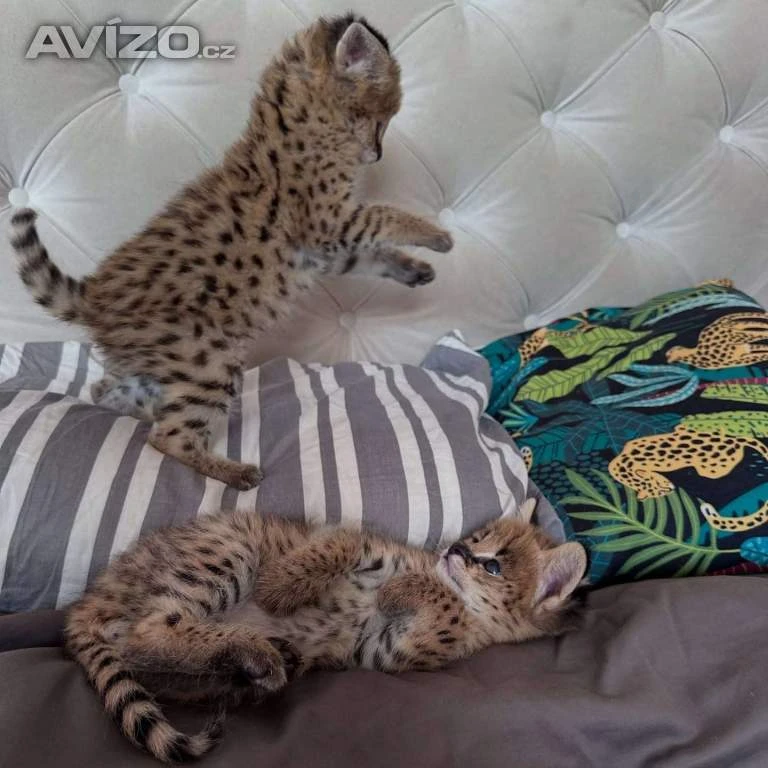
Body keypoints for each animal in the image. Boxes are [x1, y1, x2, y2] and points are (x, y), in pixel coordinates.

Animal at [10, 13, 453, 491]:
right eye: (380, 118)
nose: (377, 154)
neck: (301, 122)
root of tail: (92, 294)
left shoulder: (327, 247)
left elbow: (374, 253)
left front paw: (415, 268)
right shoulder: (328, 222)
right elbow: (385, 215)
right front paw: (435, 234)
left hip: (157, 364)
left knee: (106, 391)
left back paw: (133, 408)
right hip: (208, 359)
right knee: (167, 437)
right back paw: (235, 471)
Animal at [65, 498, 587, 763]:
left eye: (493, 566)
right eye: (476, 539)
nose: (455, 549)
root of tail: (90, 600)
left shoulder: (388, 651)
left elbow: (438, 611)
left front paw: (406, 592)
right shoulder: (349, 539)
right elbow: (335, 546)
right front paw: (281, 589)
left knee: (143, 647)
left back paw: (257, 661)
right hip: (227, 551)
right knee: (146, 630)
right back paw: (257, 649)